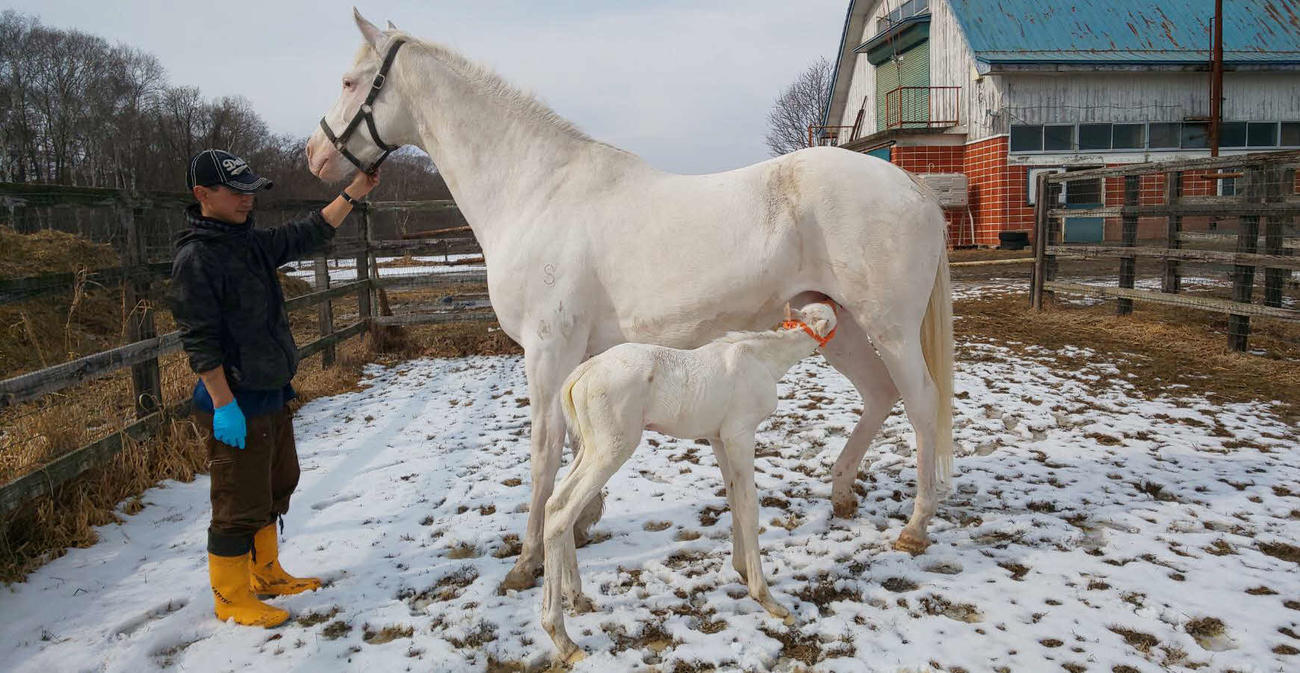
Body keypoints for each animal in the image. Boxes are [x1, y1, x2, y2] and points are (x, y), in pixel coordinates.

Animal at [306, 11, 955, 592]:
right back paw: (841, 491)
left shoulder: (547, 350)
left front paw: (528, 559)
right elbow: (574, 443)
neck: (537, 190)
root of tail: (913, 186)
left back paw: (916, 527)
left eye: (349, 82)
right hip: (835, 325)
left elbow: (544, 451)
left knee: (921, 404)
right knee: (880, 394)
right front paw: (583, 521)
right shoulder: (575, 354)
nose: (315, 155)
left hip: (890, 328)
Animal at [541, 302, 837, 663]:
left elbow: (734, 498)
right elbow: (749, 505)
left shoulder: (719, 438)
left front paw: (740, 567)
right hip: (612, 447)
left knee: (557, 502)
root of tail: (580, 374)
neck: (763, 359)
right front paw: (767, 598)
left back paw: (577, 597)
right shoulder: (740, 434)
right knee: (562, 510)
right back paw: (563, 638)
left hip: (590, 446)